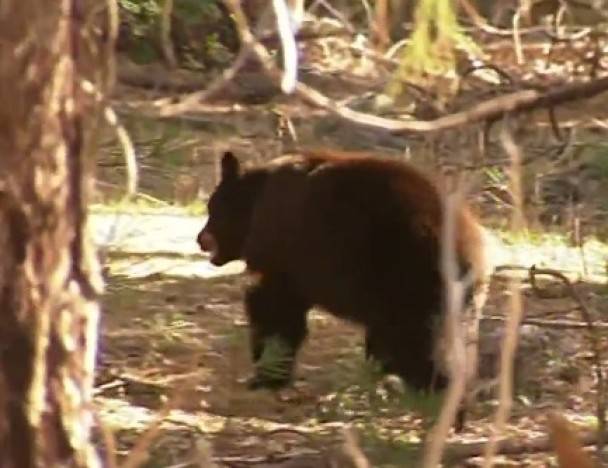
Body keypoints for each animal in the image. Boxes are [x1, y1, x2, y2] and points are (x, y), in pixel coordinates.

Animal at [197, 149, 486, 394]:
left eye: (212, 209)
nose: (200, 239)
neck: (257, 201)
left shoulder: (280, 254)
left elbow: (274, 310)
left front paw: (267, 375)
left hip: (407, 276)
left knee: (414, 338)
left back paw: (429, 388)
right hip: (456, 297)